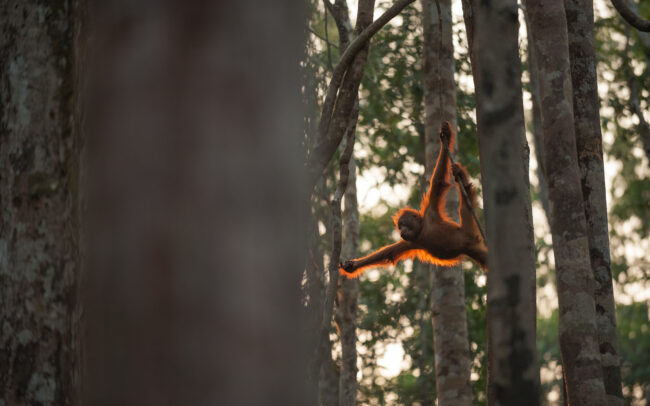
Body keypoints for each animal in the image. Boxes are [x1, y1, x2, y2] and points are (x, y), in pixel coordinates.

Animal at [339, 122, 487, 278]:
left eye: (404, 224)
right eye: (400, 227)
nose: (401, 231)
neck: (422, 231)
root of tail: (472, 241)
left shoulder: (430, 212)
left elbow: (438, 181)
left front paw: (445, 137)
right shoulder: (411, 242)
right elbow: (388, 253)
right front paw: (352, 265)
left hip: (469, 229)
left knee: (465, 206)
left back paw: (461, 176)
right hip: (474, 249)